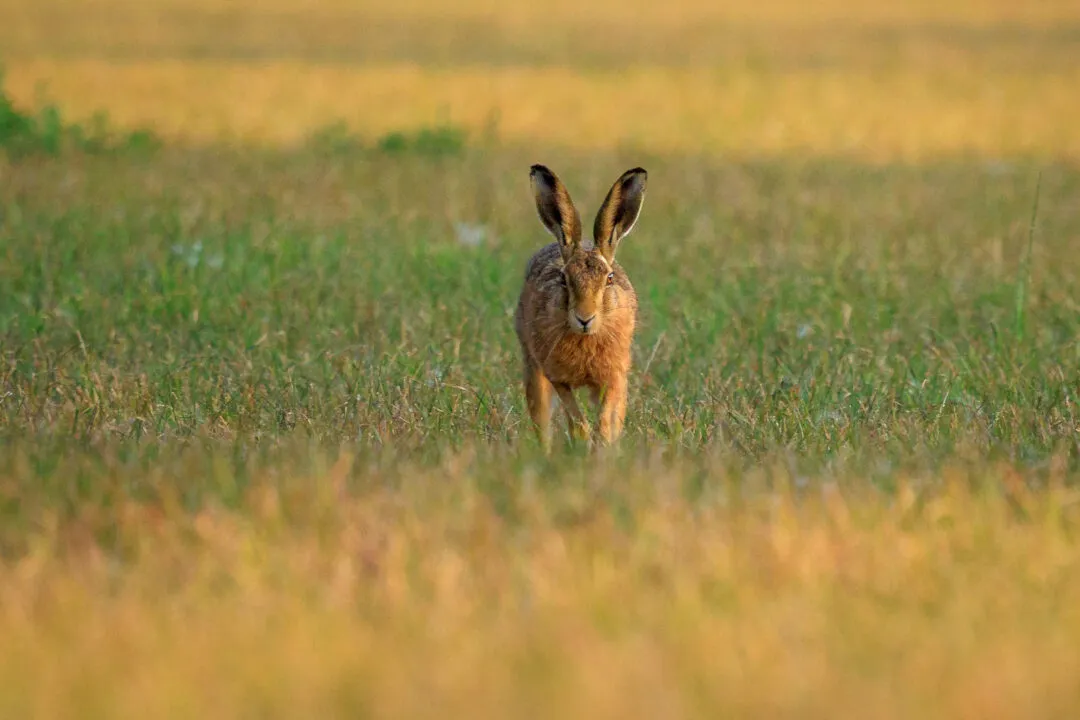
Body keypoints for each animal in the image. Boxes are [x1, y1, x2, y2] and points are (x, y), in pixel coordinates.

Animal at [514, 164, 648, 450]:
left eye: (609, 279)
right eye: (563, 278)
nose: (584, 318)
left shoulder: (614, 376)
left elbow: (606, 421)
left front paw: (602, 448)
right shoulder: (558, 378)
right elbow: (576, 421)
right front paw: (584, 444)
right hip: (533, 369)